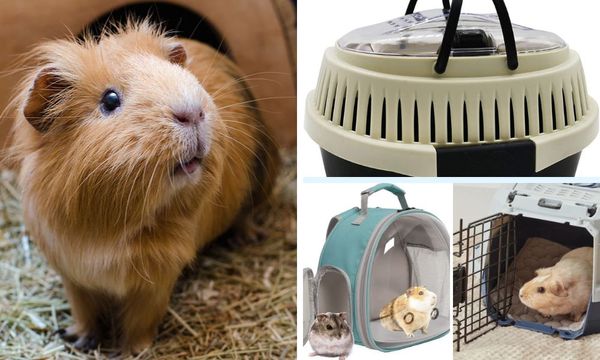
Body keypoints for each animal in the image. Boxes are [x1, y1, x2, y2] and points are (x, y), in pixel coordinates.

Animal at [5, 20, 282, 354]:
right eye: (110, 100)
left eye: (176, 73)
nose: (192, 112)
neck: (112, 230)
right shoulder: (73, 276)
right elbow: (85, 313)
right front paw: (78, 339)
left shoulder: (155, 281)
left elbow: (139, 323)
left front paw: (129, 352)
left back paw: (246, 238)